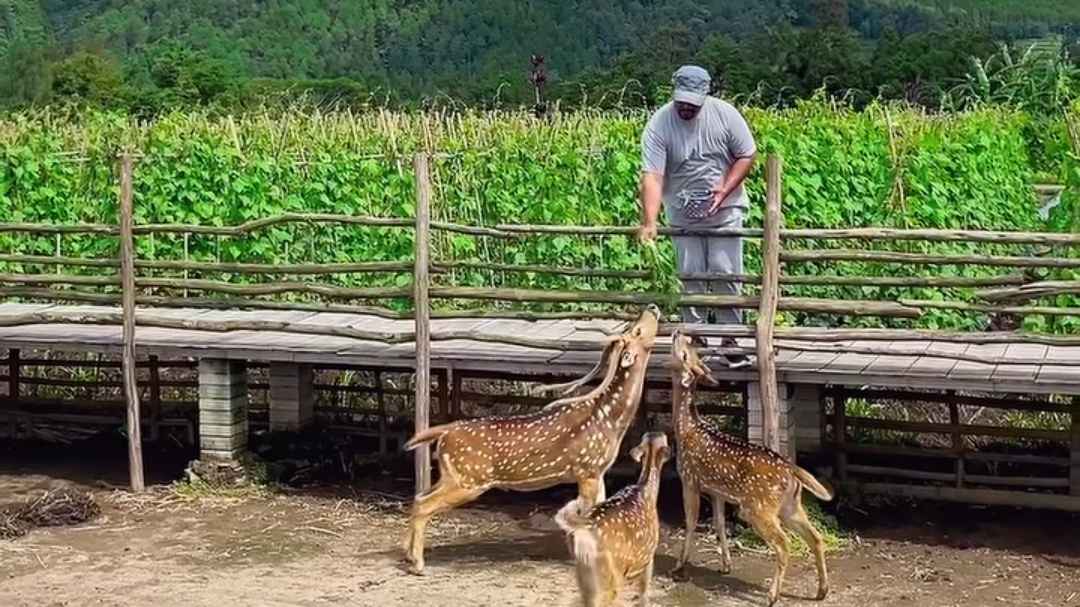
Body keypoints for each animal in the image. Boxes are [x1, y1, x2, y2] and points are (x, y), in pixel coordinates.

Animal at [401, 304, 660, 574]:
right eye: (637, 331)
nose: (651, 307)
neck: (611, 419)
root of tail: (444, 432)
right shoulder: (587, 469)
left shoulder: (597, 471)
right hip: (468, 479)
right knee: (424, 504)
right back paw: (418, 564)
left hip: (452, 474)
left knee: (418, 497)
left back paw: (408, 555)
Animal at [552, 429, 669, 604]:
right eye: (665, 440)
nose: (659, 431)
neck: (647, 492)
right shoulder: (649, 556)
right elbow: (643, 594)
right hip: (612, 573)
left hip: (583, 572)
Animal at [665, 330, 833, 604]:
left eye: (685, 352)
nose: (680, 332)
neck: (686, 429)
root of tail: (792, 471)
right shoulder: (717, 491)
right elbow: (719, 524)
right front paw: (725, 565)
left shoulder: (689, 478)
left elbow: (690, 522)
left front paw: (679, 567)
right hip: (790, 505)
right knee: (816, 537)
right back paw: (821, 590)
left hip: (759, 507)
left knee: (783, 544)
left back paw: (773, 595)